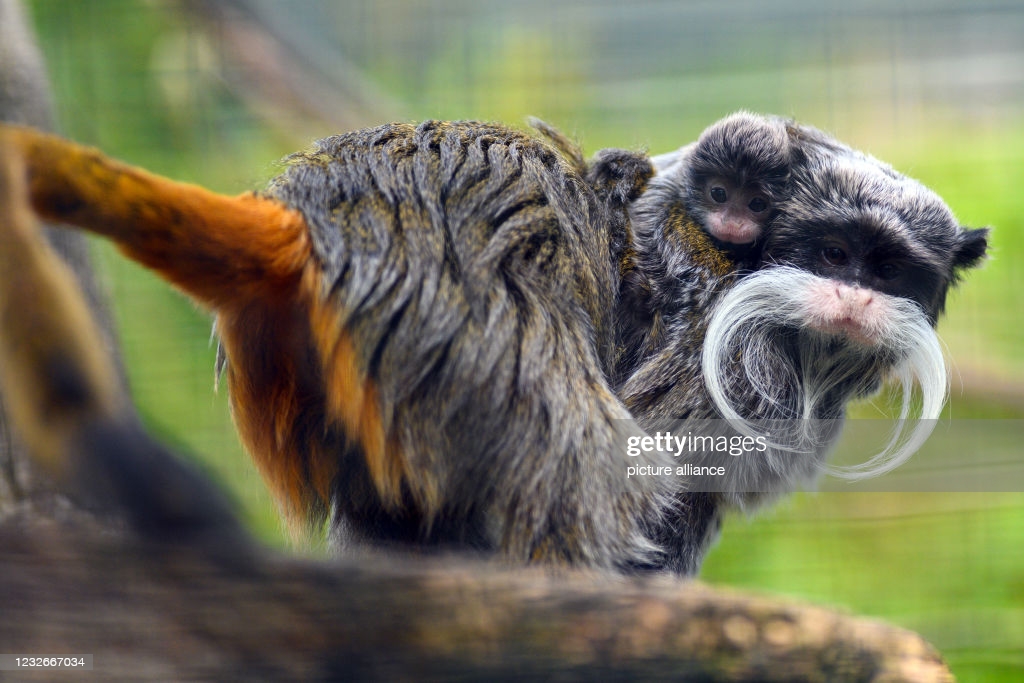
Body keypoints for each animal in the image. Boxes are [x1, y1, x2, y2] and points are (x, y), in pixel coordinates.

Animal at [0, 116, 987, 573]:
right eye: (833, 254)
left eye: (888, 270)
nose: (852, 298)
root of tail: (311, 215)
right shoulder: (716, 343)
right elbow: (651, 463)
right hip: (462, 302)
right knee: (580, 461)